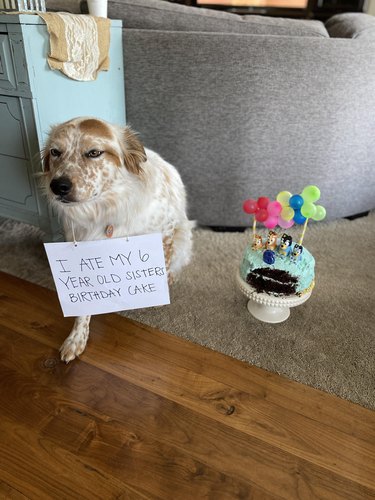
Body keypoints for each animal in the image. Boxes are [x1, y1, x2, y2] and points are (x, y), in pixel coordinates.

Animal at [41, 116, 194, 364]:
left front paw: (158, 291)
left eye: (94, 152)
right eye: (55, 152)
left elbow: (163, 264)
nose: (58, 186)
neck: (105, 209)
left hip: (184, 234)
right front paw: (76, 338)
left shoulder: (166, 230)